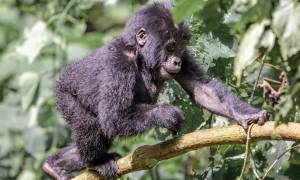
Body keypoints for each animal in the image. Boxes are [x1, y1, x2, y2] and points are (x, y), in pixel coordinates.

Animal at [42, 2, 268, 179]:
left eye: (180, 48)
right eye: (170, 47)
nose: (176, 61)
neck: (140, 54)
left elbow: (203, 90)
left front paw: (247, 115)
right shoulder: (119, 63)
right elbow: (114, 116)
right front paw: (167, 114)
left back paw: (55, 165)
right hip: (65, 96)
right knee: (89, 124)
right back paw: (95, 162)